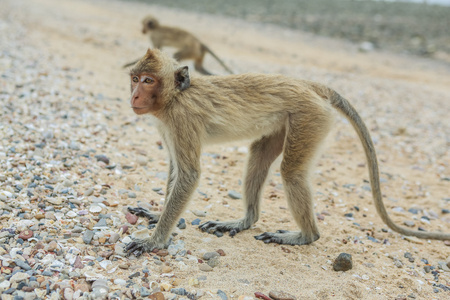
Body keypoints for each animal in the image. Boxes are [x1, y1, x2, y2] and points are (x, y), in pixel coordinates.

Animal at [124, 48, 450, 256]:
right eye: (135, 79)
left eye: (149, 81)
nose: (135, 97)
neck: (175, 97)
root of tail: (307, 84)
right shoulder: (168, 125)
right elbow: (175, 169)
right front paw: (157, 215)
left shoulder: (182, 119)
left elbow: (189, 174)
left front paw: (154, 242)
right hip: (285, 122)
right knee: (258, 157)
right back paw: (245, 221)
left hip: (310, 117)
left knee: (291, 172)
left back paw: (305, 236)